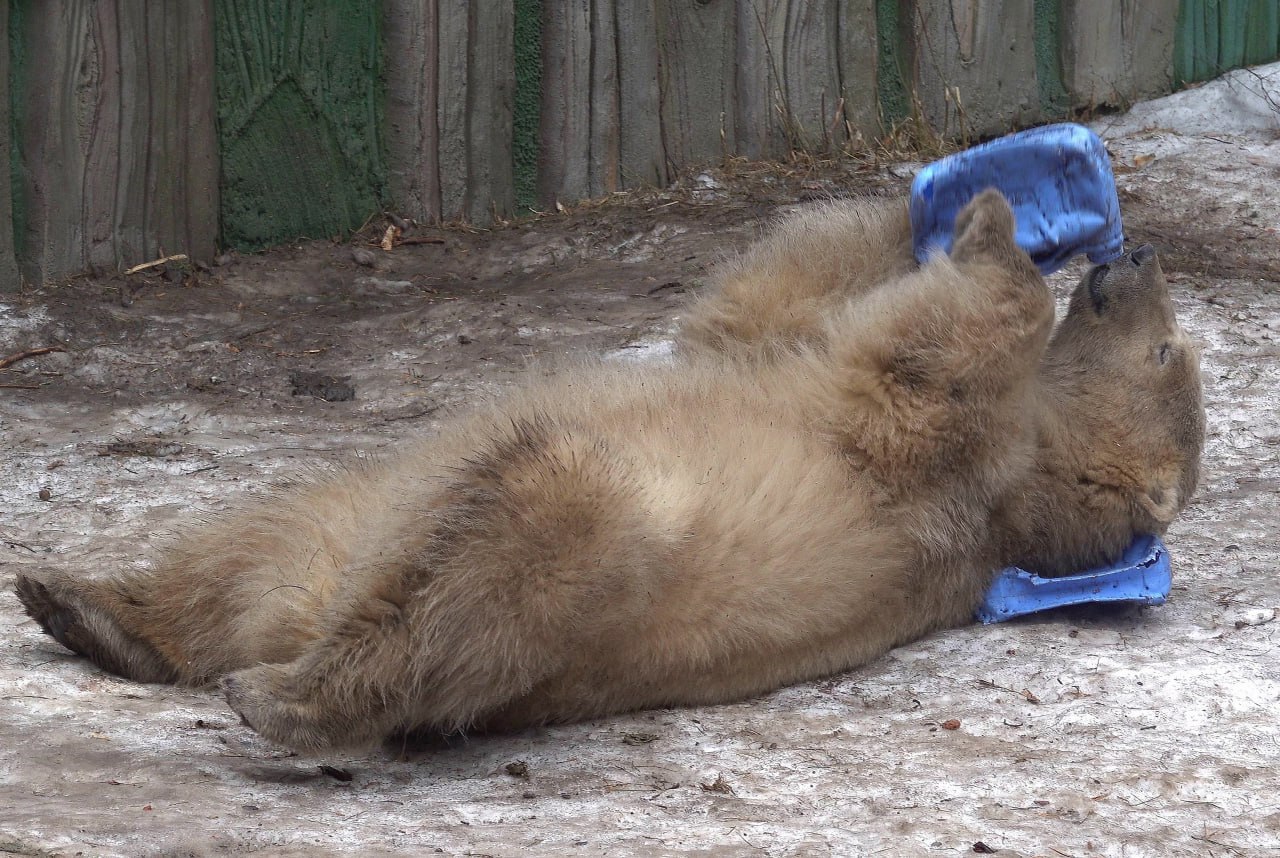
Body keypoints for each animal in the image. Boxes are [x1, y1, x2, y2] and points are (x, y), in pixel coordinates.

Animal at [15, 189, 1203, 752]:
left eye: (1166, 353)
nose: (1140, 257)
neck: (1020, 503)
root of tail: (309, 613)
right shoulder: (788, 367)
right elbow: (756, 303)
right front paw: (952, 201)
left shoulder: (933, 452)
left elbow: (946, 337)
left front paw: (995, 224)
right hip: (350, 517)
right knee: (260, 537)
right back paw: (86, 604)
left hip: (578, 585)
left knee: (521, 536)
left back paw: (286, 695)